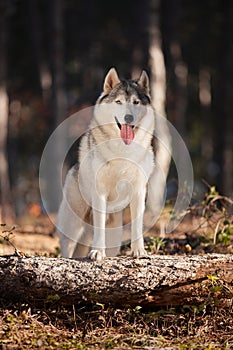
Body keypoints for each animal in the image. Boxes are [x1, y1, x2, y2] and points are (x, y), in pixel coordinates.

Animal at [57, 68, 167, 260]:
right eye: (118, 102)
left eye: (136, 102)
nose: (128, 117)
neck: (122, 150)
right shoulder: (100, 192)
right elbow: (99, 228)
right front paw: (97, 253)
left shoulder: (139, 192)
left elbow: (137, 225)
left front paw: (139, 251)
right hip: (73, 224)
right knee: (67, 247)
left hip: (114, 237)